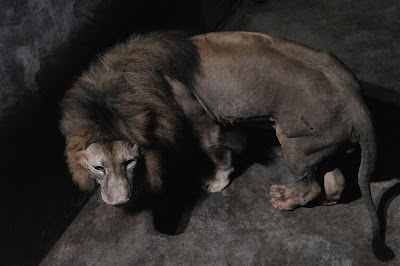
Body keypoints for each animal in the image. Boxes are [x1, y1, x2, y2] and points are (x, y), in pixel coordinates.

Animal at [60, 30, 394, 260]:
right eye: (98, 168)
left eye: (129, 162)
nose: (119, 202)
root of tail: (355, 99)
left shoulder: (201, 119)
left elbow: (216, 153)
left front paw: (216, 182)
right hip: (320, 146)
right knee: (335, 182)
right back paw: (326, 201)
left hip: (295, 144)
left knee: (311, 185)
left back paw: (283, 200)